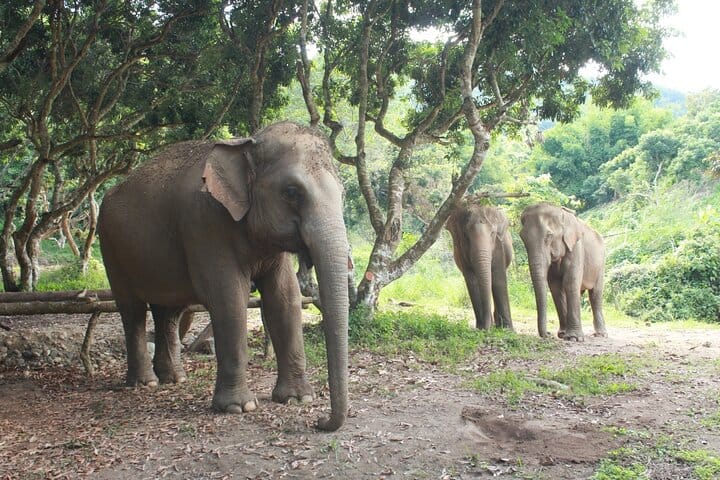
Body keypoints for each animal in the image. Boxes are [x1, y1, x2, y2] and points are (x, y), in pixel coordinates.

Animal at [97, 121, 349, 431]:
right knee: (132, 310)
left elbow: (284, 298)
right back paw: (146, 384)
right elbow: (229, 297)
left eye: (343, 192)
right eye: (292, 191)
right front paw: (238, 407)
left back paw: (174, 379)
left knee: (168, 311)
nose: (320, 421)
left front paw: (297, 399)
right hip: (110, 246)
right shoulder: (204, 222)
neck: (246, 143)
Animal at [519, 203, 607, 341]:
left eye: (549, 235)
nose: (548, 334)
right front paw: (563, 334)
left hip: (601, 264)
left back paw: (601, 334)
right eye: (522, 237)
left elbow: (570, 282)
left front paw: (574, 338)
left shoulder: (576, 248)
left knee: (595, 294)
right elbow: (556, 287)